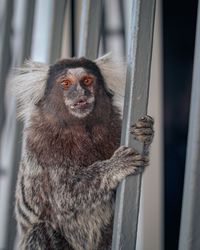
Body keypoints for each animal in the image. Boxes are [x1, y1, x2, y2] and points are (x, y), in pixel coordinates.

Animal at [13, 55, 154, 250]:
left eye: (87, 81)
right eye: (65, 83)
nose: (80, 92)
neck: (80, 131)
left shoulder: (115, 128)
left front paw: (145, 133)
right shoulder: (41, 146)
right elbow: (64, 196)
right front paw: (115, 165)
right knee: (39, 231)